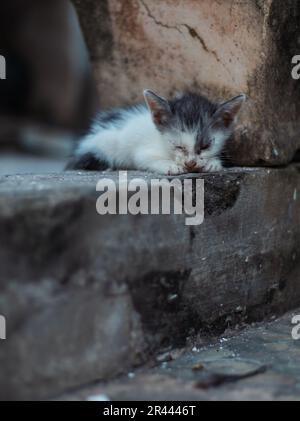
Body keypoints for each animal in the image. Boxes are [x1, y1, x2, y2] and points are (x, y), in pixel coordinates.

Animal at [67, 89, 246, 173]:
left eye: (205, 146)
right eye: (177, 146)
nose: (190, 163)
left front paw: (212, 163)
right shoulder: (142, 152)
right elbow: (146, 159)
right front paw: (171, 166)